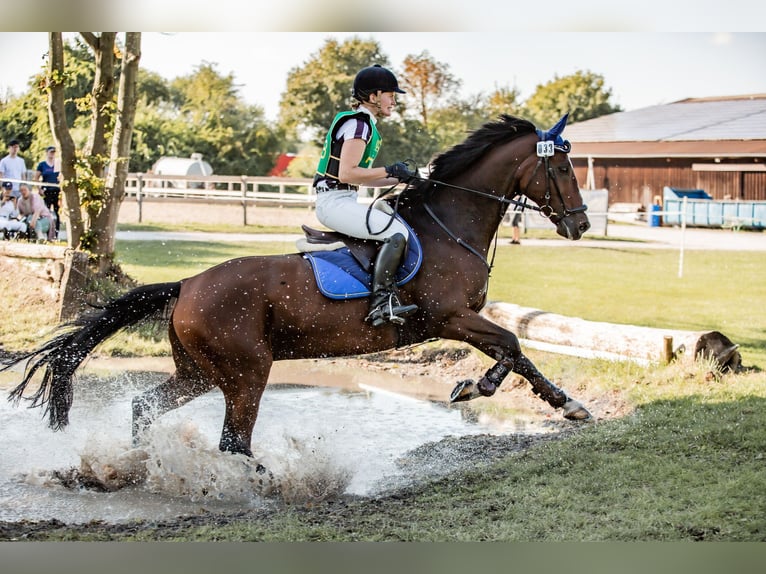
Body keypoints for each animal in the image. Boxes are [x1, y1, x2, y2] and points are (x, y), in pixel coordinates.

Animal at [3, 115, 592, 462]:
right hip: (246, 370)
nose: (581, 224)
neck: (448, 225)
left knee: (146, 407)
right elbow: (511, 346)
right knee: (232, 440)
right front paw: (474, 387)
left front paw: (567, 405)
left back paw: (142, 465)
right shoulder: (448, 318)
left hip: (198, 372)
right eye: (563, 168)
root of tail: (188, 284)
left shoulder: (460, 321)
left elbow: (519, 354)